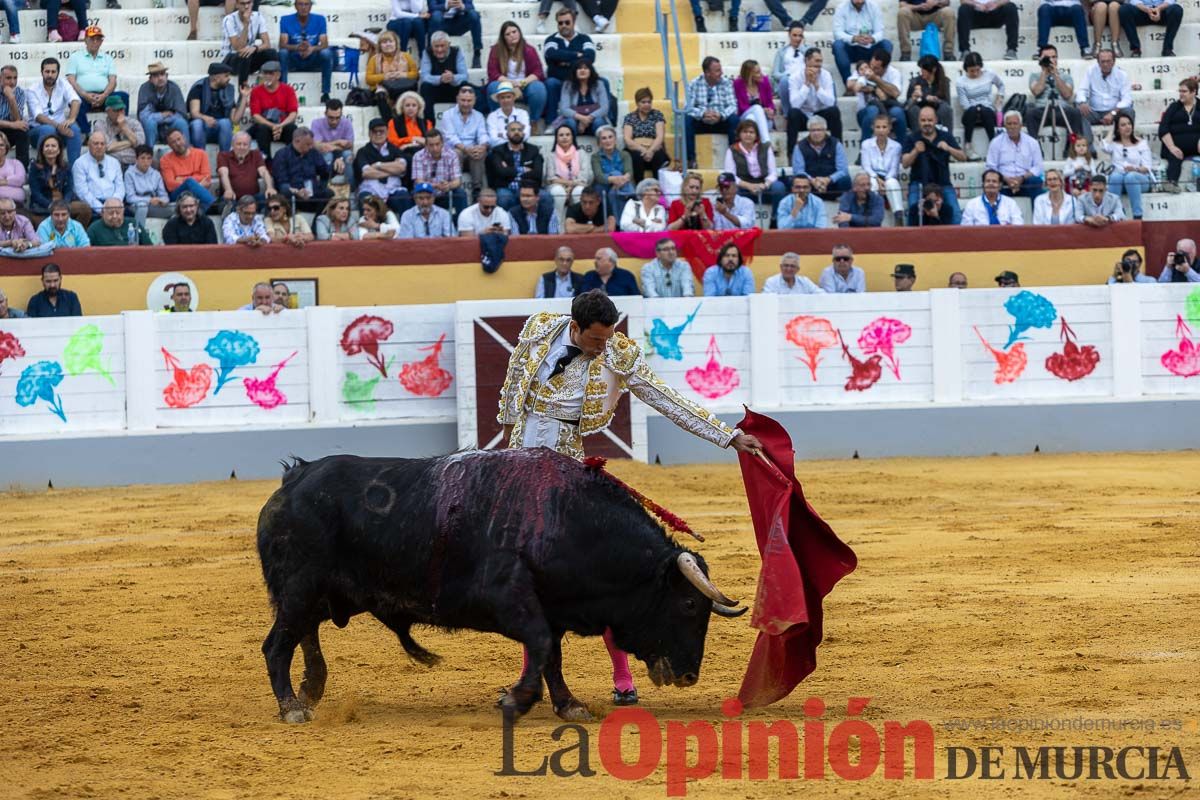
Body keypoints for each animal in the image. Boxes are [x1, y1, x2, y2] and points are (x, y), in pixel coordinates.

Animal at [258, 450, 744, 724]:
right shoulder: (508, 601)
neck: (564, 518)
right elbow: (542, 645)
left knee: (305, 633)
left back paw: (311, 688)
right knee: (277, 643)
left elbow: (552, 656)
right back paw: (292, 707)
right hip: (299, 589)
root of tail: (293, 480)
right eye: (688, 604)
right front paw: (517, 701)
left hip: (323, 595)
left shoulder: (550, 607)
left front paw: (567, 705)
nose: (689, 674)